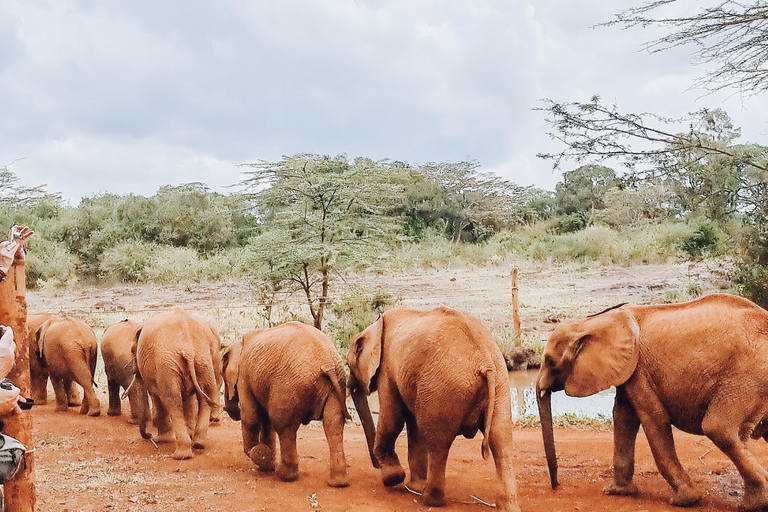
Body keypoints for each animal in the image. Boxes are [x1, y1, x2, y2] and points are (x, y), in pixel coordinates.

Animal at [132, 308, 220, 460]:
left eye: (133, 350)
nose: (148, 435)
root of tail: (189, 349)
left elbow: (157, 396)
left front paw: (161, 440)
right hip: (204, 359)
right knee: (207, 394)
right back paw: (198, 444)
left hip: (167, 362)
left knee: (172, 399)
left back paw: (180, 455)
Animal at [222, 322, 352, 486]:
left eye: (222, 375)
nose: (228, 408)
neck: (239, 343)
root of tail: (326, 361)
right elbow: (266, 421)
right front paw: (267, 463)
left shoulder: (244, 376)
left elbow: (251, 417)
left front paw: (263, 457)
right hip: (337, 384)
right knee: (333, 424)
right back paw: (338, 483)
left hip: (288, 387)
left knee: (284, 425)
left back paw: (283, 474)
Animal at [350, 308, 520, 512]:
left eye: (349, 365)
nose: (375, 465)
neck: (375, 326)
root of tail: (485, 361)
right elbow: (413, 425)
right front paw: (411, 485)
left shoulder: (387, 369)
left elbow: (393, 419)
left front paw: (393, 480)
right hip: (500, 383)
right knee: (501, 440)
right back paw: (507, 506)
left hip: (444, 388)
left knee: (439, 444)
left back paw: (429, 500)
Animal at [536, 292, 768, 512]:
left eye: (550, 362)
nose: (556, 486)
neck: (589, 322)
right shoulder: (629, 370)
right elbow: (623, 417)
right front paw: (616, 492)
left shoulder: (639, 370)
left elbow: (653, 418)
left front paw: (685, 501)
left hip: (747, 375)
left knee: (718, 428)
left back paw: (753, 505)